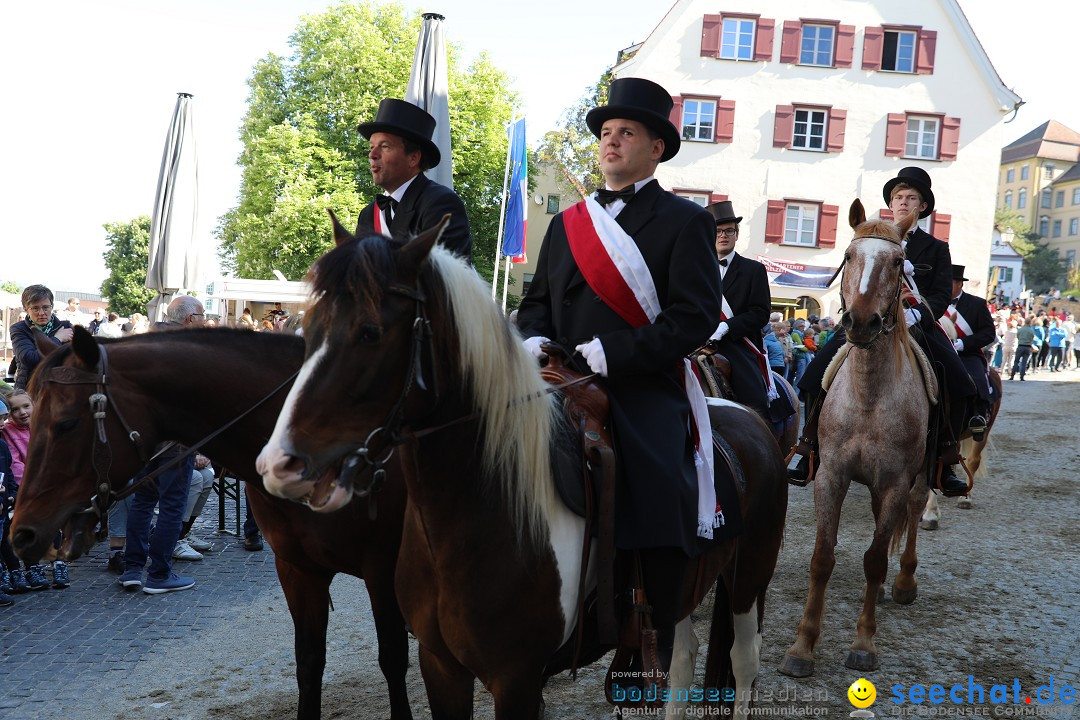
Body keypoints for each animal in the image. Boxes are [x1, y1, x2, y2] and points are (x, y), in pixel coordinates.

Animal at [8, 330, 412, 720]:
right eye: (31, 418)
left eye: (66, 424)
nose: (22, 533)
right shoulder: (298, 570)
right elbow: (310, 663)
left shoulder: (383, 568)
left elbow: (393, 658)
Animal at [257, 220, 790, 720]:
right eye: (308, 327)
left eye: (370, 332)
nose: (278, 464)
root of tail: (749, 416)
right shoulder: (440, 665)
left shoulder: (516, 679)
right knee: (682, 658)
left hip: (749, 576)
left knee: (743, 661)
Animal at [781, 199, 933, 677]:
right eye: (849, 256)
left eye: (899, 262)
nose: (861, 321)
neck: (869, 395)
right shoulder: (832, 474)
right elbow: (822, 558)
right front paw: (802, 647)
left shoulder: (895, 482)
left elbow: (873, 559)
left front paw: (864, 644)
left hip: (921, 477)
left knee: (913, 515)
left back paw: (903, 581)